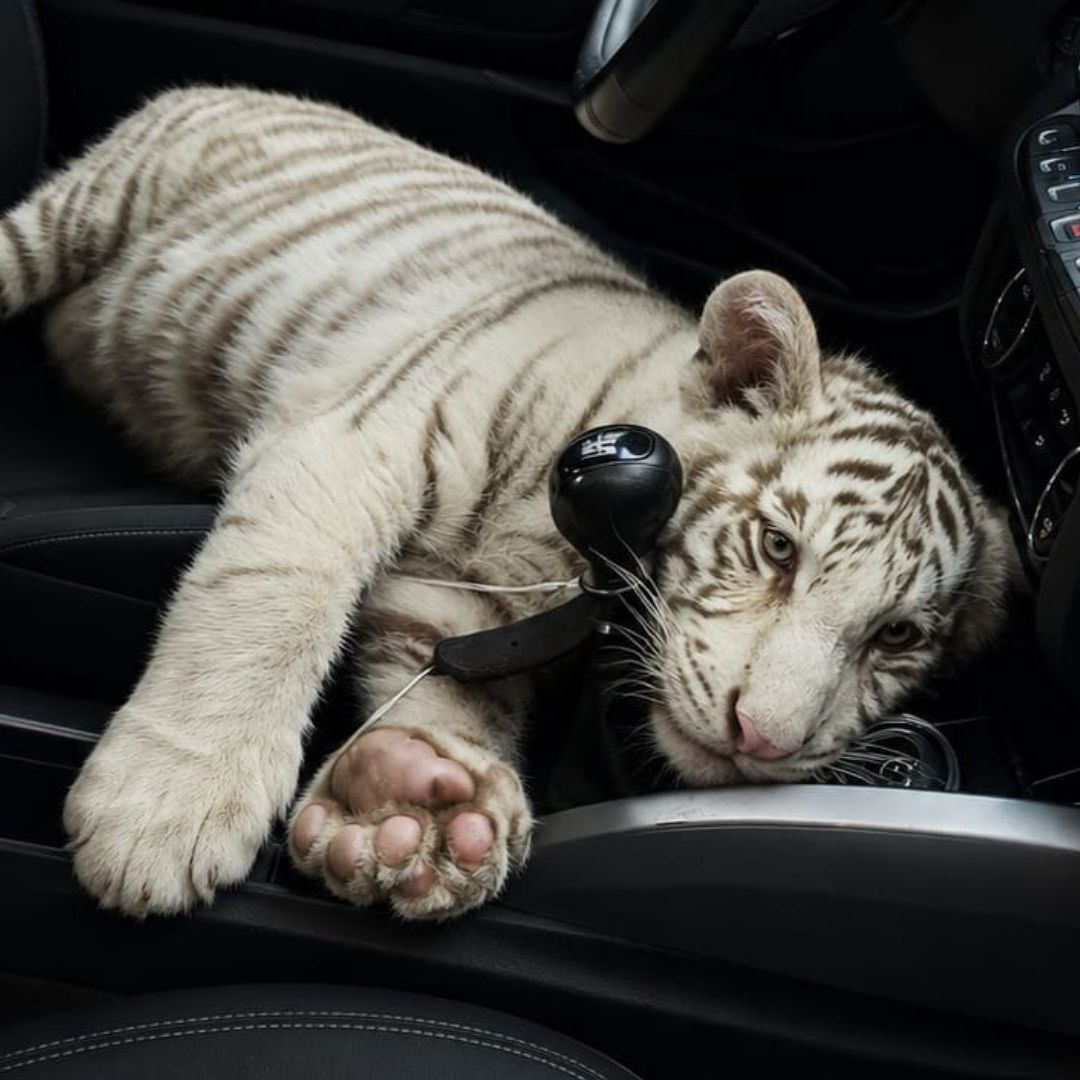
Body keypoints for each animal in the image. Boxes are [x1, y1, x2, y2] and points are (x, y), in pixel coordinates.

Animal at [0, 86, 1012, 920]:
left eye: (896, 636)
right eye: (776, 547)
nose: (762, 740)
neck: (569, 554)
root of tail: (235, 85)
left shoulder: (465, 599)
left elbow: (448, 683)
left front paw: (415, 802)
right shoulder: (355, 438)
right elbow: (267, 603)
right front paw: (166, 810)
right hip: (90, 205)